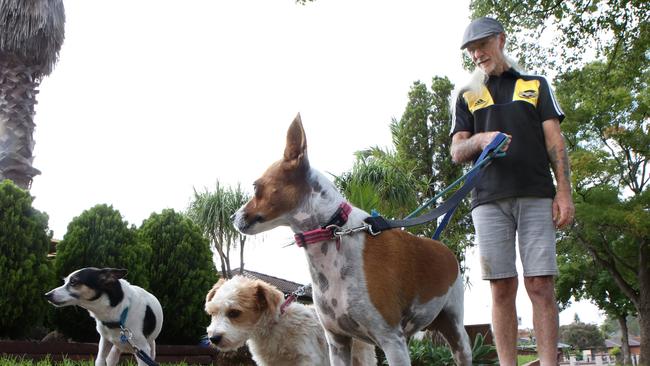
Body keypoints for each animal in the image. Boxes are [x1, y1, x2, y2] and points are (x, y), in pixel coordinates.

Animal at [233, 113, 470, 364]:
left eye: (256, 187)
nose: (232, 216)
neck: (333, 230)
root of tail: (444, 248)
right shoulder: (338, 342)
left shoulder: (391, 341)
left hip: (456, 333)